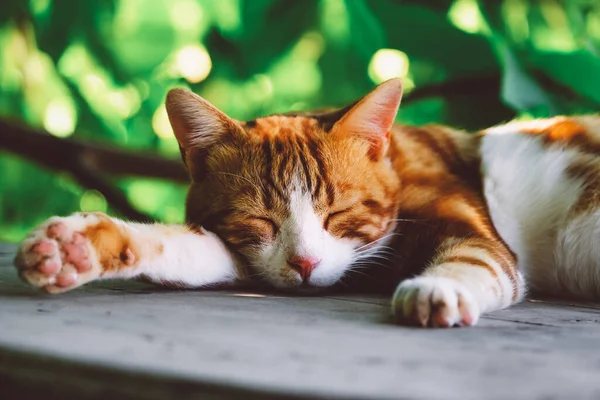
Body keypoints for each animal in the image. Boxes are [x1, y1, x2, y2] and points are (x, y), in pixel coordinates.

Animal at [12, 79, 600, 328]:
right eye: (259, 220)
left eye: (338, 214)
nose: (306, 264)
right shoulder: (251, 258)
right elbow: (183, 248)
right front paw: (78, 247)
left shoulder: (472, 229)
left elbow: (476, 258)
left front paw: (438, 289)